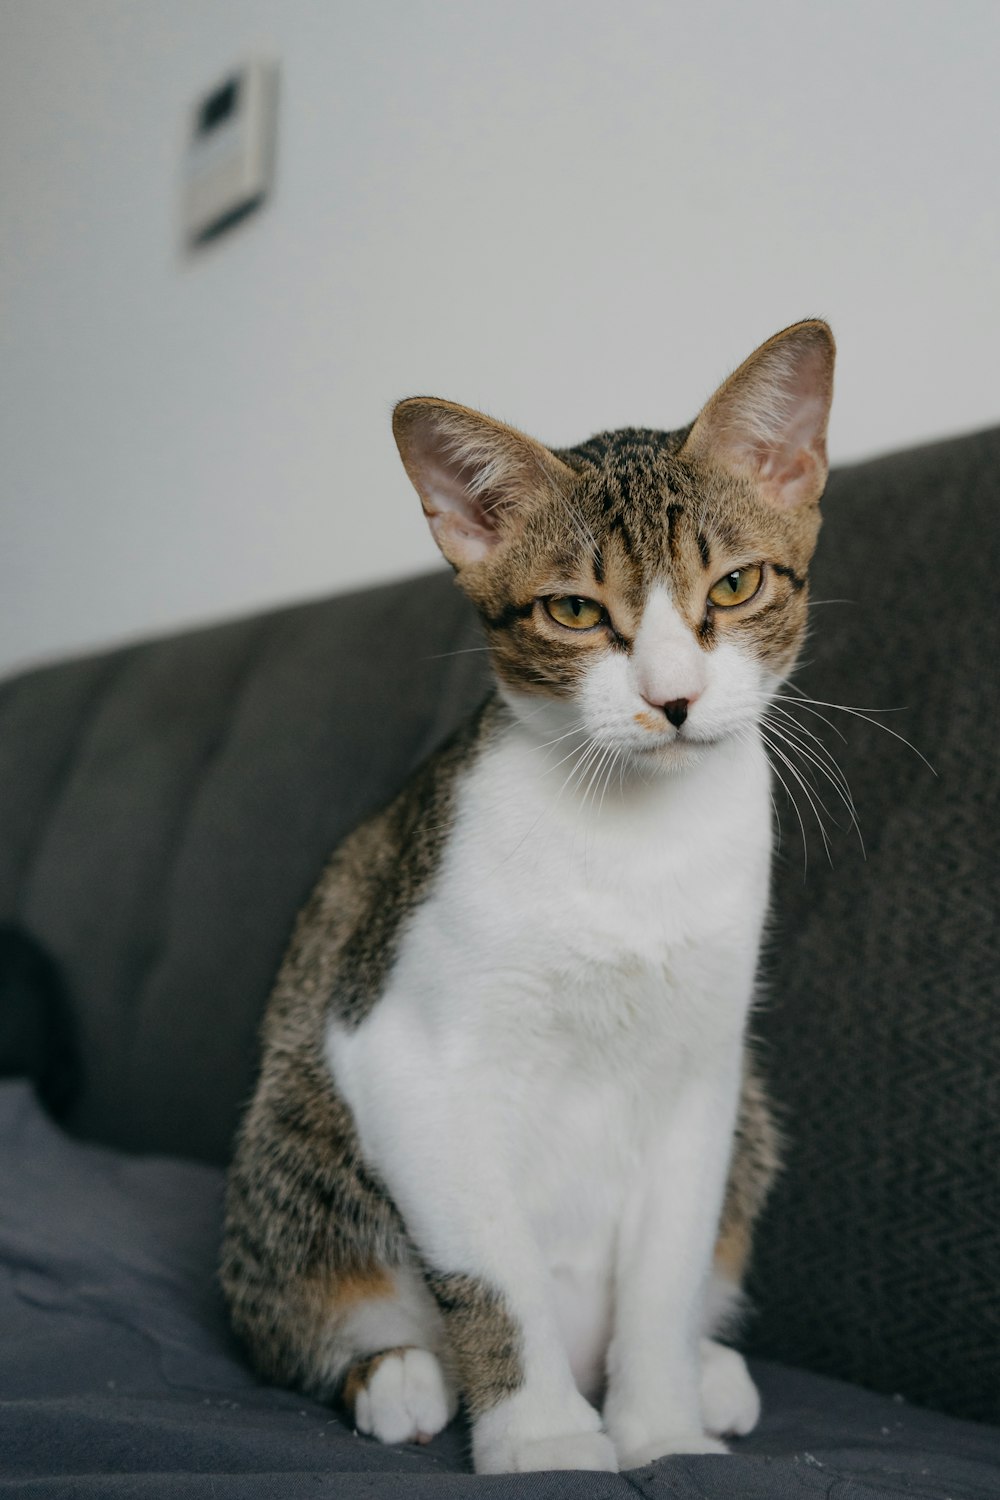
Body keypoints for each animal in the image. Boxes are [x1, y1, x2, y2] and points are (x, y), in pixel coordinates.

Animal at [220, 319, 839, 1476]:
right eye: (573, 611)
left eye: (735, 587)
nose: (672, 700)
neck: (631, 844)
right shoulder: (401, 1051)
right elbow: (490, 1269)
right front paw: (546, 1436)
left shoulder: (703, 1069)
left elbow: (665, 1267)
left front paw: (661, 1429)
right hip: (296, 1121)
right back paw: (396, 1375)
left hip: (749, 1119)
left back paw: (708, 1373)